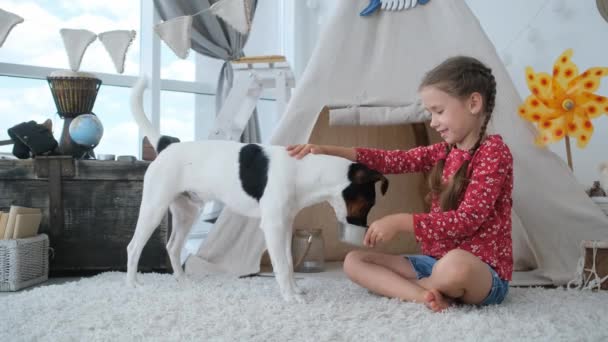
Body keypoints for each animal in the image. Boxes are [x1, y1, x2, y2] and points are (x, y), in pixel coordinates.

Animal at [127, 78, 390, 302]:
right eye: (368, 203)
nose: (364, 228)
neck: (303, 170)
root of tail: (165, 146)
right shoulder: (273, 227)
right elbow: (282, 266)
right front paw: (290, 297)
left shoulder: (285, 226)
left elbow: (288, 263)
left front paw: (295, 290)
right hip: (154, 209)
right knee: (133, 247)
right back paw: (134, 285)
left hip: (187, 212)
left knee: (172, 247)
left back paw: (183, 283)